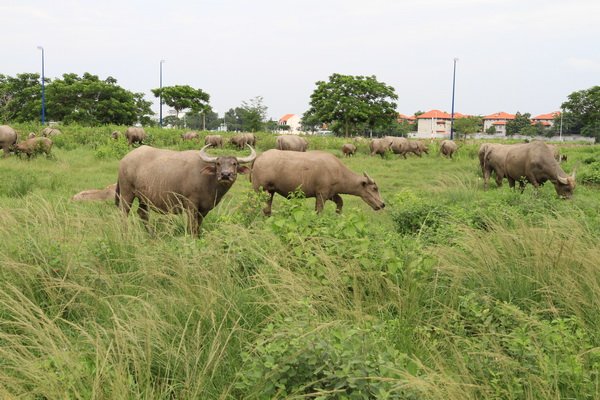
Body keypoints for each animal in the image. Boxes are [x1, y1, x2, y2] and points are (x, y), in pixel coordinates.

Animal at [116, 143, 255, 234]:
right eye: (218, 163)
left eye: (234, 163)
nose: (225, 175)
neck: (208, 181)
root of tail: (125, 159)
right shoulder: (190, 204)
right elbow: (192, 225)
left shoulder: (204, 209)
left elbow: (198, 225)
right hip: (127, 193)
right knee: (124, 212)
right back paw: (125, 233)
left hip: (144, 198)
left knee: (142, 213)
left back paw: (151, 233)